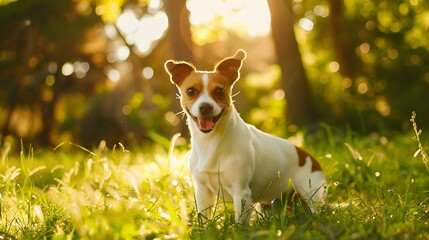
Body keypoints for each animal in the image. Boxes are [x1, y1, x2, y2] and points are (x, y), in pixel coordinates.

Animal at [166, 49, 326, 224]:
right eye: (190, 91)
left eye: (219, 91)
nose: (205, 107)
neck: (212, 142)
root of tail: (311, 158)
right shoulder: (203, 193)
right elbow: (204, 220)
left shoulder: (241, 192)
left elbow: (239, 223)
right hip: (271, 204)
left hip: (311, 195)